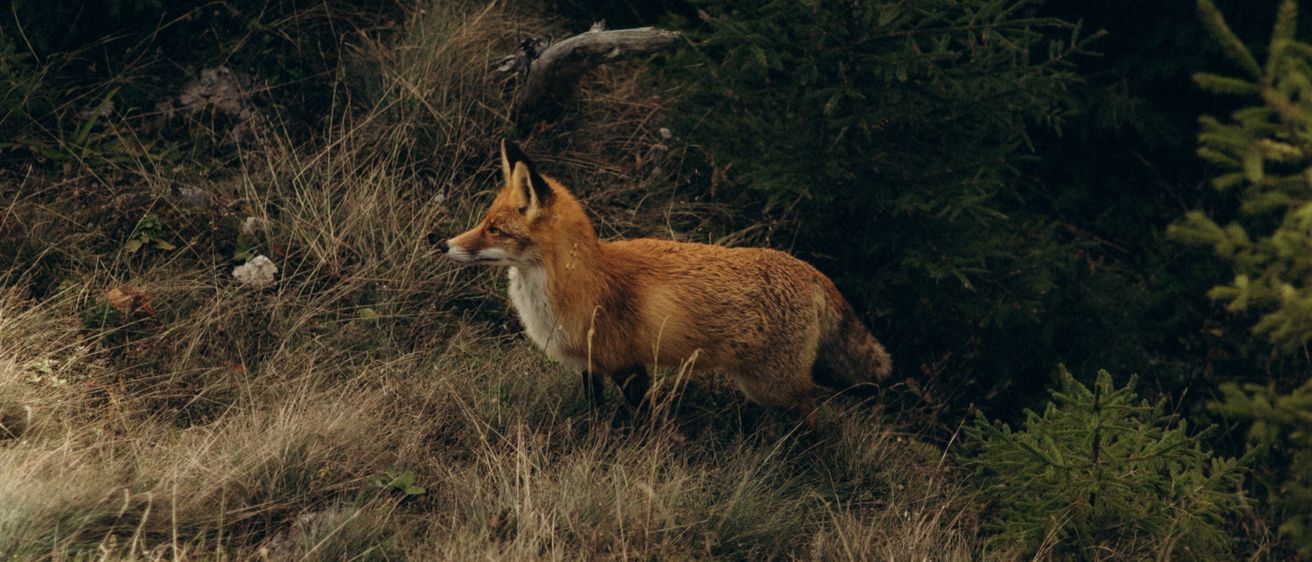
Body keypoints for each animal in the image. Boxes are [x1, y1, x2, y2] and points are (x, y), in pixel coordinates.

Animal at [432, 141, 892, 426]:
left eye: (495, 230)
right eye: (484, 222)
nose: (442, 244)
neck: (580, 282)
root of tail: (810, 270)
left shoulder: (631, 368)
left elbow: (646, 423)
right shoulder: (591, 366)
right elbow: (594, 412)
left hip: (773, 385)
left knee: (816, 414)